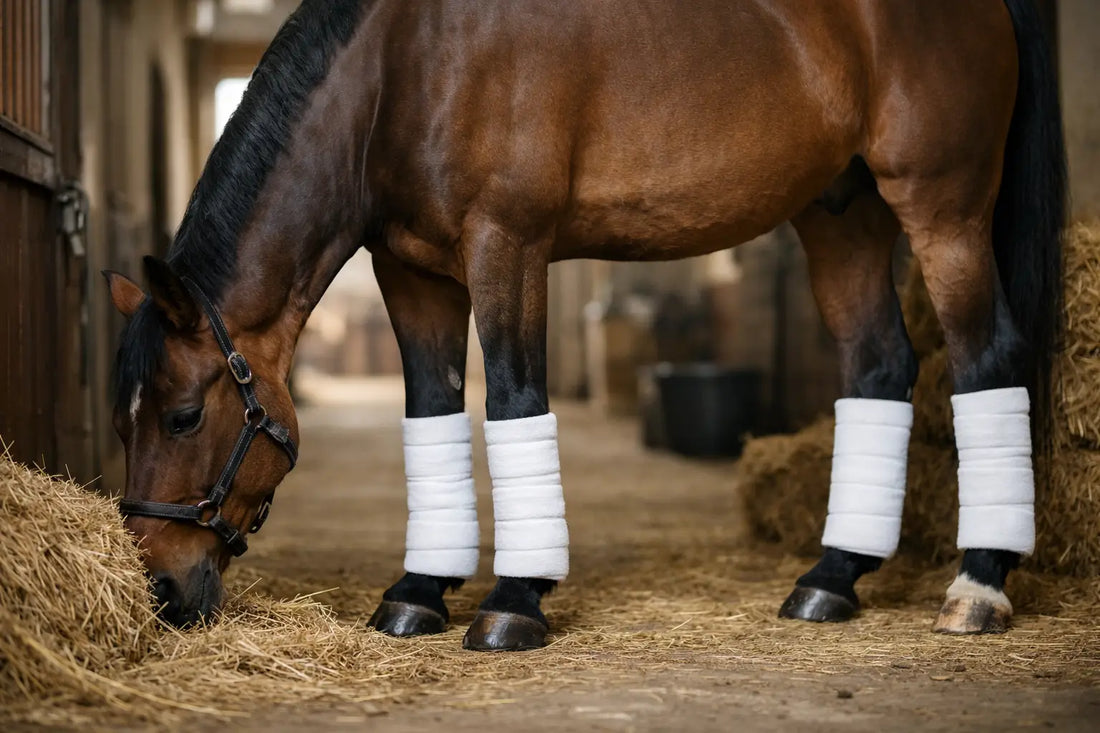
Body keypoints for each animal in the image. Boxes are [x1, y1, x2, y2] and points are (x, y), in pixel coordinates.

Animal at [105, 0, 1064, 650]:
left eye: (184, 415)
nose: (159, 586)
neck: (406, 65)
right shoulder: (412, 271)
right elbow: (433, 413)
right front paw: (418, 590)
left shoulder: (508, 244)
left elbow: (513, 400)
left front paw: (513, 601)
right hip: (842, 211)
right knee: (878, 367)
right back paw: (831, 578)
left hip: (941, 205)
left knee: (984, 360)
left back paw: (977, 585)